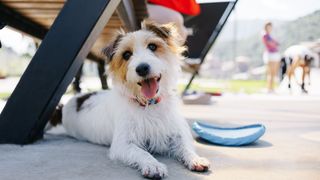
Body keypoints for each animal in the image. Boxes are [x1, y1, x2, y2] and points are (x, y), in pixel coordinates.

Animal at [48, 20, 210, 179]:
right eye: (126, 55)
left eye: (152, 46)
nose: (142, 68)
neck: (148, 104)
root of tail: (70, 103)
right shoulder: (123, 144)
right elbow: (141, 152)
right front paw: (153, 165)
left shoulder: (175, 134)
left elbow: (185, 147)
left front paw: (196, 159)